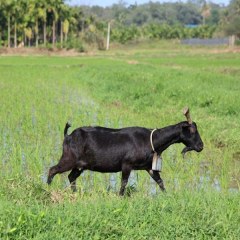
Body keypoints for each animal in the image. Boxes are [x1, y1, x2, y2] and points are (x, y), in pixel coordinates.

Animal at [47, 108, 202, 195]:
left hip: (80, 165)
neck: (151, 140)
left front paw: (167, 196)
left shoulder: (148, 167)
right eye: (192, 130)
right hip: (68, 158)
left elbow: (160, 181)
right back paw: (47, 190)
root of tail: (68, 136)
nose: (201, 146)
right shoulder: (127, 164)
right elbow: (123, 183)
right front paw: (120, 197)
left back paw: (74, 193)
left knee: (71, 177)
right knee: (52, 170)